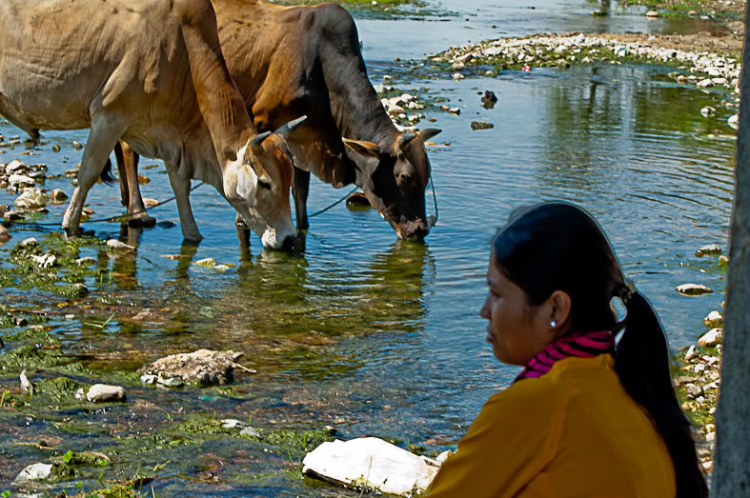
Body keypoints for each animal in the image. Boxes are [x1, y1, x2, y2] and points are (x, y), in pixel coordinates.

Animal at [0, 0, 306, 249]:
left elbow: (180, 186)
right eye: (265, 183)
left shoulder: (171, 136)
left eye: (290, 177)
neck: (183, 47)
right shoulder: (109, 115)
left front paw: (193, 235)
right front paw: (69, 225)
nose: (290, 239)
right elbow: (88, 172)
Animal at [112, 0, 440, 241]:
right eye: (405, 177)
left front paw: (302, 227)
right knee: (127, 150)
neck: (321, 66)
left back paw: (125, 198)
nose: (420, 230)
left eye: (426, 178)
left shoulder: (304, 137)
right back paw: (138, 211)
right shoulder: (262, 121)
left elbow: (301, 192)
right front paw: (243, 219)